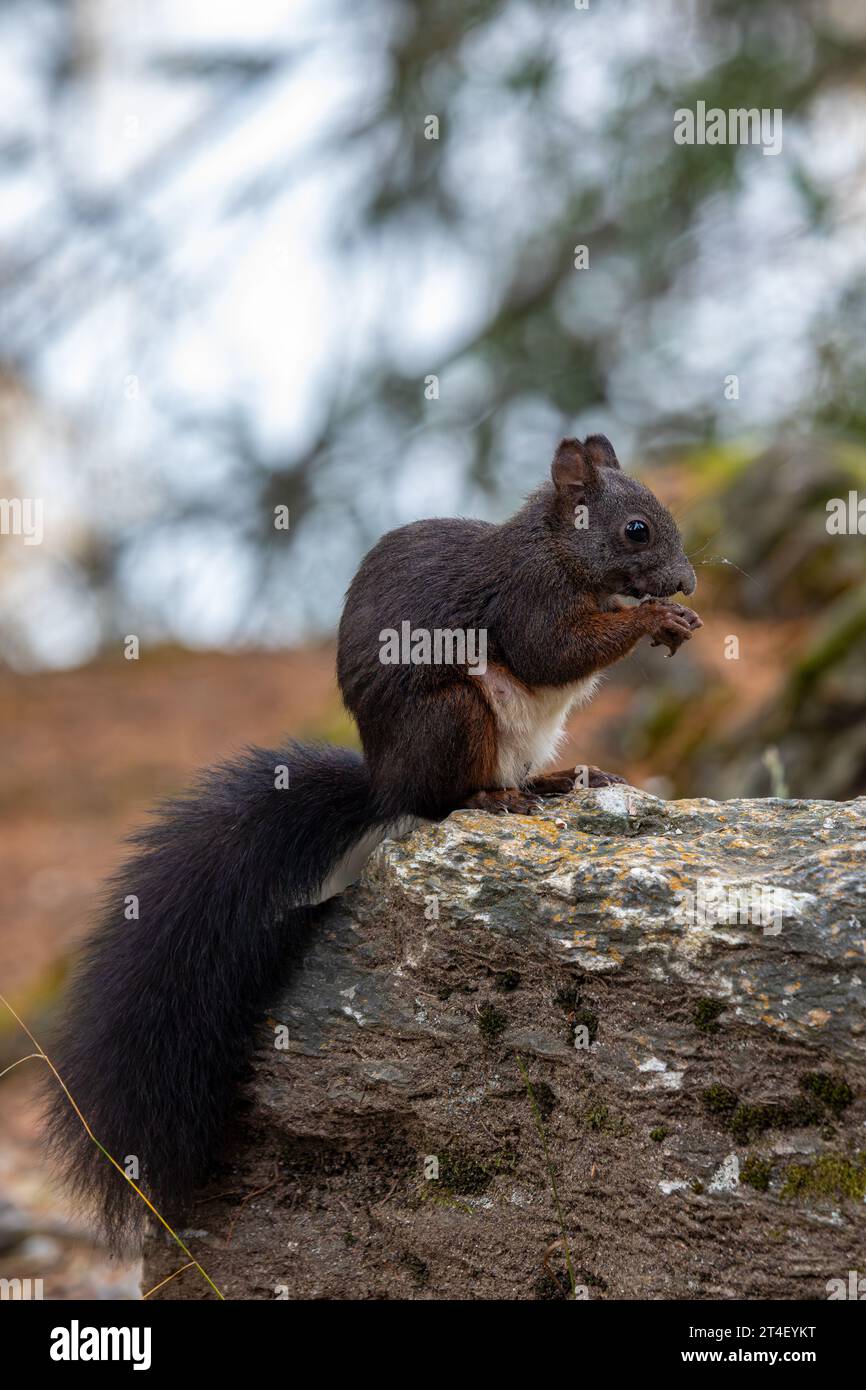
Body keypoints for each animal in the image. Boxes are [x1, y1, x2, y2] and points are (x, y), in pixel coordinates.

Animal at [44, 433, 700, 1251]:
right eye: (636, 530)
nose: (688, 580)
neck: (559, 551)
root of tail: (383, 780)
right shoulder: (528, 599)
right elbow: (549, 651)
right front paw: (656, 618)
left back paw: (555, 780)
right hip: (452, 716)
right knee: (438, 801)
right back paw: (490, 798)